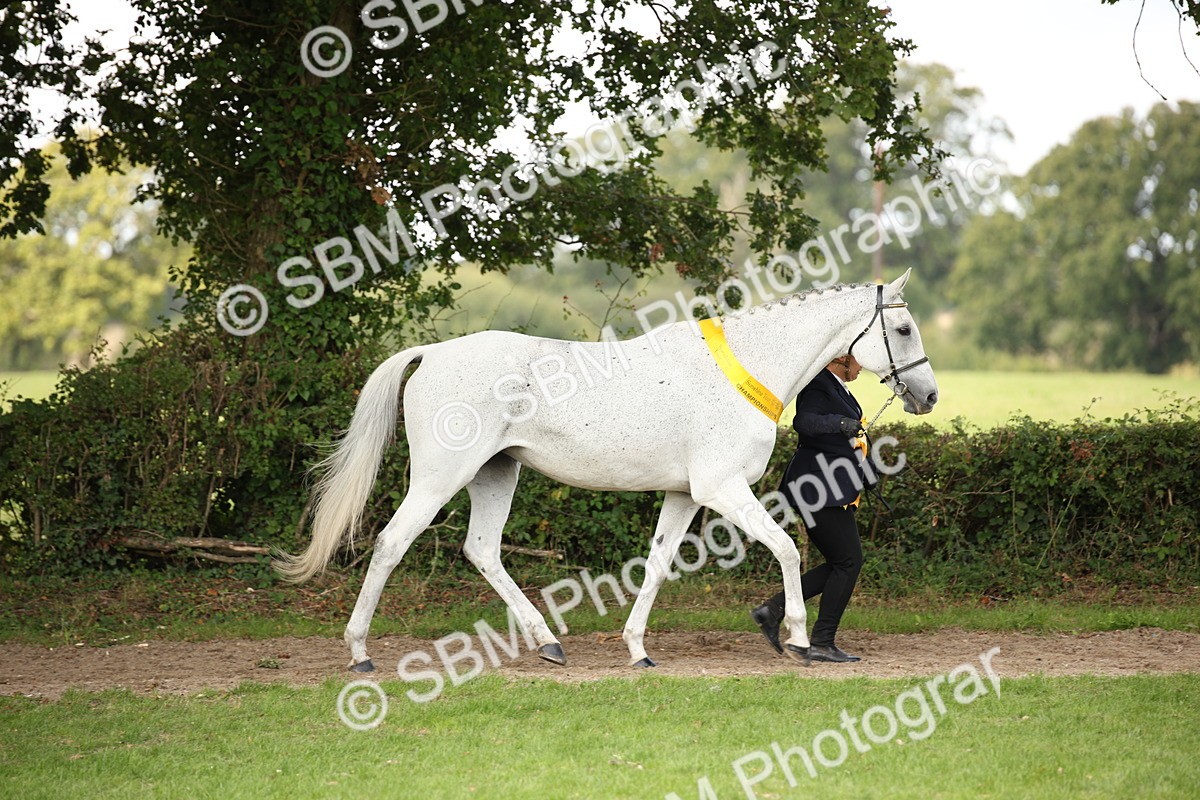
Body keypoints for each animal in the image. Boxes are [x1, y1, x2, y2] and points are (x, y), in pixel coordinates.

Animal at [274, 269, 938, 672]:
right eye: (904, 327)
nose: (929, 396)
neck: (746, 369)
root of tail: (431, 353)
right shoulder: (722, 489)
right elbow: (788, 550)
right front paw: (799, 640)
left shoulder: (684, 495)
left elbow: (658, 565)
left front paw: (637, 649)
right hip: (441, 478)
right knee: (391, 543)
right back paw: (359, 652)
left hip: (497, 474)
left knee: (482, 549)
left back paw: (549, 644)